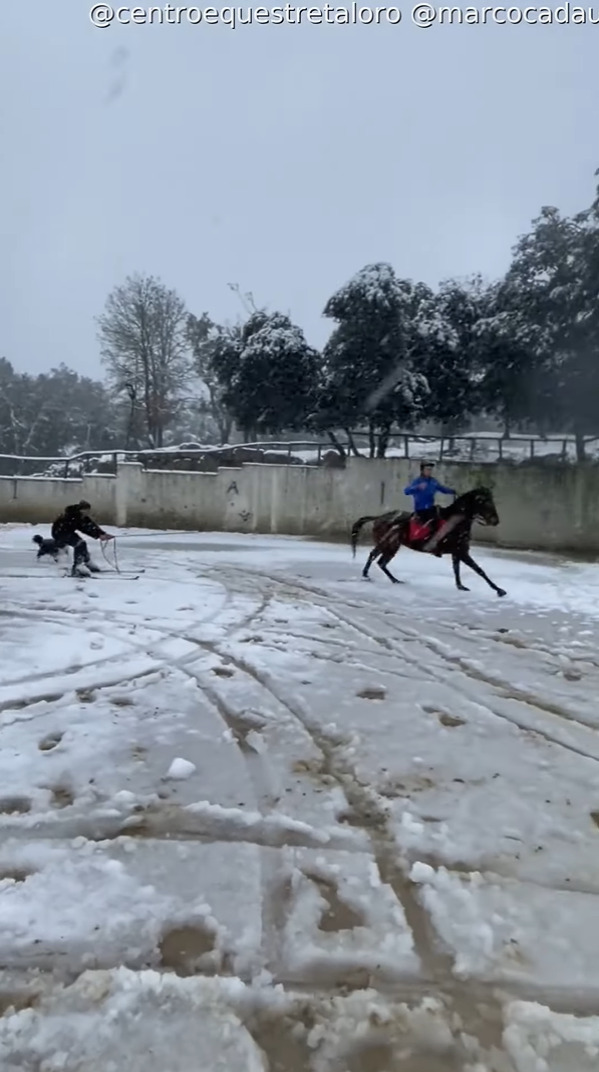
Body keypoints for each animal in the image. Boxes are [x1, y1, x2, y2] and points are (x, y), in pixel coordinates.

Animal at [349, 484, 507, 600]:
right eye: (483, 501)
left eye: (491, 500)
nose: (495, 520)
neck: (455, 522)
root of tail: (379, 517)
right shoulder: (461, 552)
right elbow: (479, 570)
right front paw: (499, 590)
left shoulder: (458, 551)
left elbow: (457, 569)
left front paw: (461, 586)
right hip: (389, 543)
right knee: (374, 556)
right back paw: (367, 575)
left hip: (391, 546)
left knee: (381, 562)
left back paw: (394, 580)